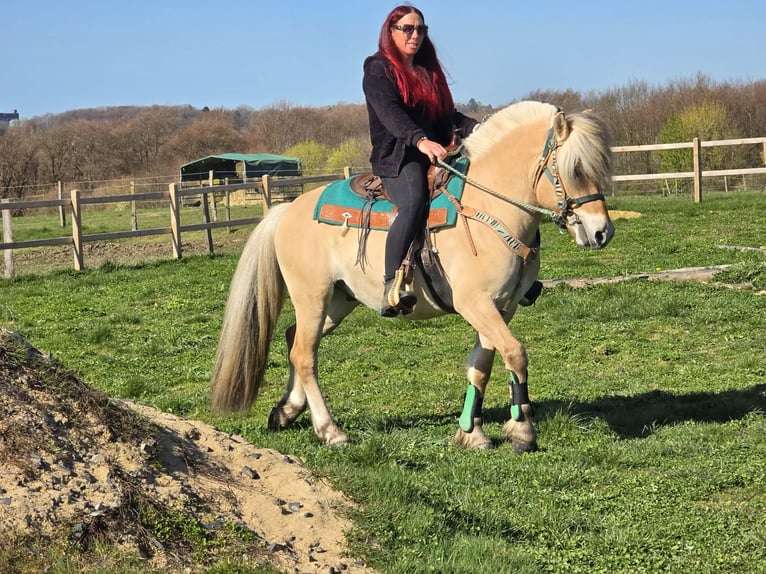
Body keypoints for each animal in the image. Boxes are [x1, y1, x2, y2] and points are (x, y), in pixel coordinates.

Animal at [210, 101, 614, 452]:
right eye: (576, 170)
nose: (601, 233)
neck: (486, 208)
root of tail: (287, 210)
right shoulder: (476, 303)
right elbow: (515, 354)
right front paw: (522, 431)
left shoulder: (501, 307)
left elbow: (480, 366)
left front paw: (471, 433)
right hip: (312, 295)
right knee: (305, 355)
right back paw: (329, 430)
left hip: (339, 300)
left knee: (295, 341)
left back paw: (286, 411)